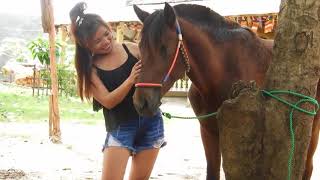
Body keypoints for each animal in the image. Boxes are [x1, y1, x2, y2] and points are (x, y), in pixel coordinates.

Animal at [131, 2, 318, 180]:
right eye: (140, 46)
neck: (223, 71)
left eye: (164, 48)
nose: (141, 103)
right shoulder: (208, 131)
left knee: (307, 167)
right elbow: (212, 172)